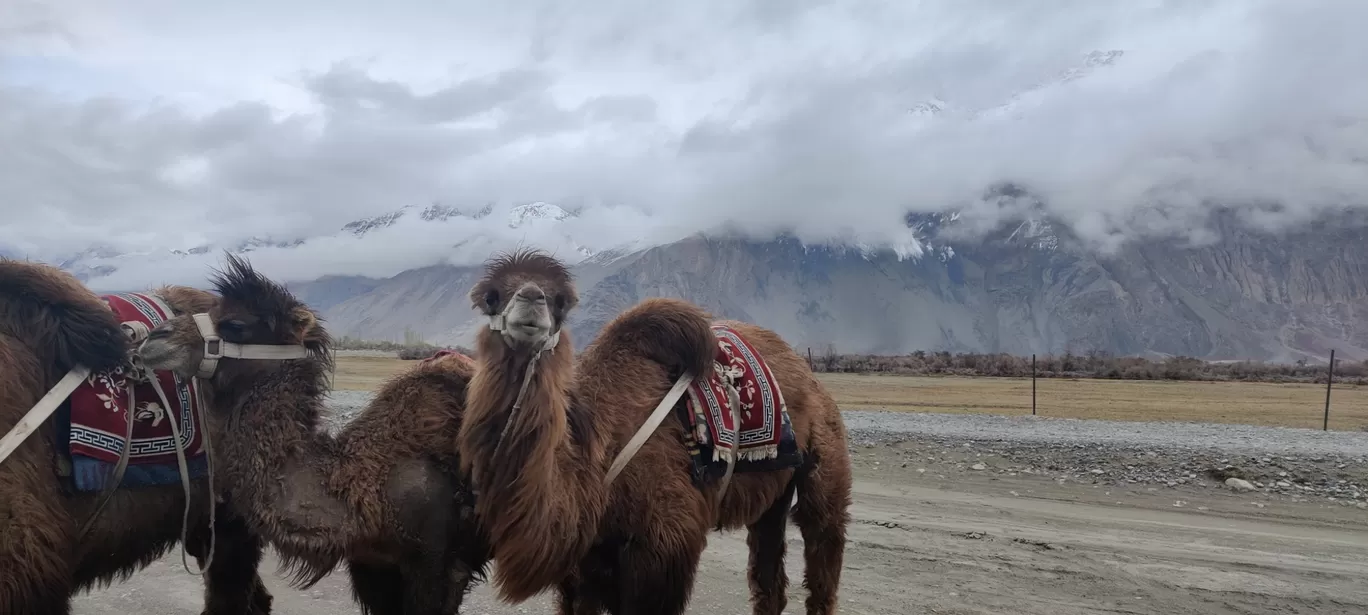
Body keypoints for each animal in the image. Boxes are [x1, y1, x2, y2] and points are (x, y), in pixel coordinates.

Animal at [459, 250, 848, 615]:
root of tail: (807, 373)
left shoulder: (662, 549)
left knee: (822, 539)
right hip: (774, 491)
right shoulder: (585, 562)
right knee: (769, 574)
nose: (531, 297)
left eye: (559, 301)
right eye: (492, 296)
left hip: (826, 453)